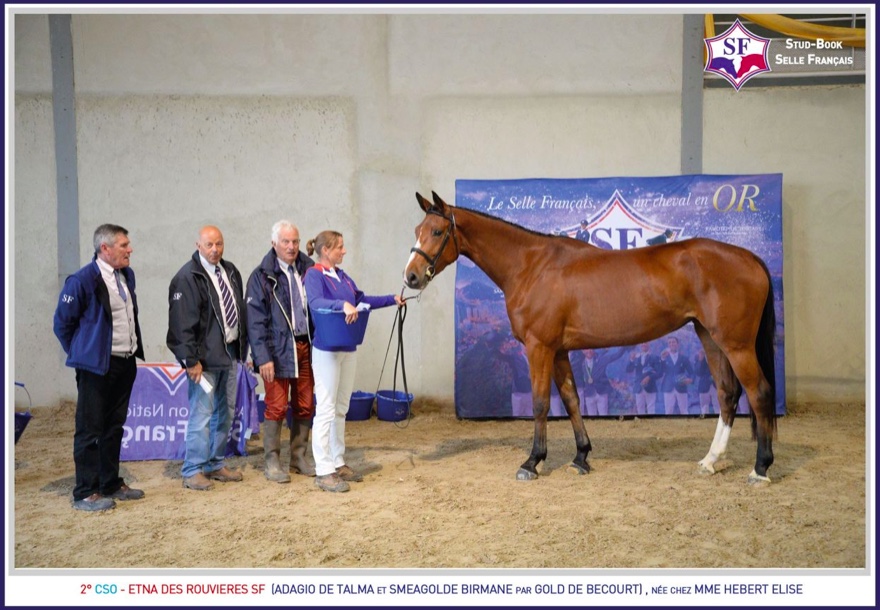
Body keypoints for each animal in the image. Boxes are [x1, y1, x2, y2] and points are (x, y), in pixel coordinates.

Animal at [406, 190, 776, 484]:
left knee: (758, 393)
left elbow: (540, 403)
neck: (530, 265)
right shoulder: (558, 351)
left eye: (437, 231)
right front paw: (581, 457)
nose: (410, 276)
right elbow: (571, 399)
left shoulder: (539, 347)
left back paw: (760, 468)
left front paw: (532, 462)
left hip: (737, 345)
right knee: (728, 394)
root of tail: (750, 257)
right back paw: (710, 461)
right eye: (417, 231)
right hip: (710, 337)